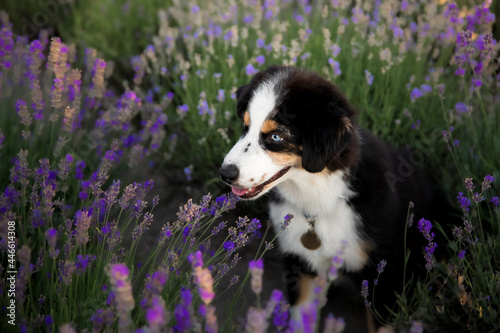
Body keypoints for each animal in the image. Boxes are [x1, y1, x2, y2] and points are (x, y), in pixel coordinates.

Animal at [220, 65, 438, 322]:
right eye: (246, 127)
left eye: (275, 136)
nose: (225, 173)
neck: (319, 197)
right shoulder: (302, 265)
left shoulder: (382, 276)